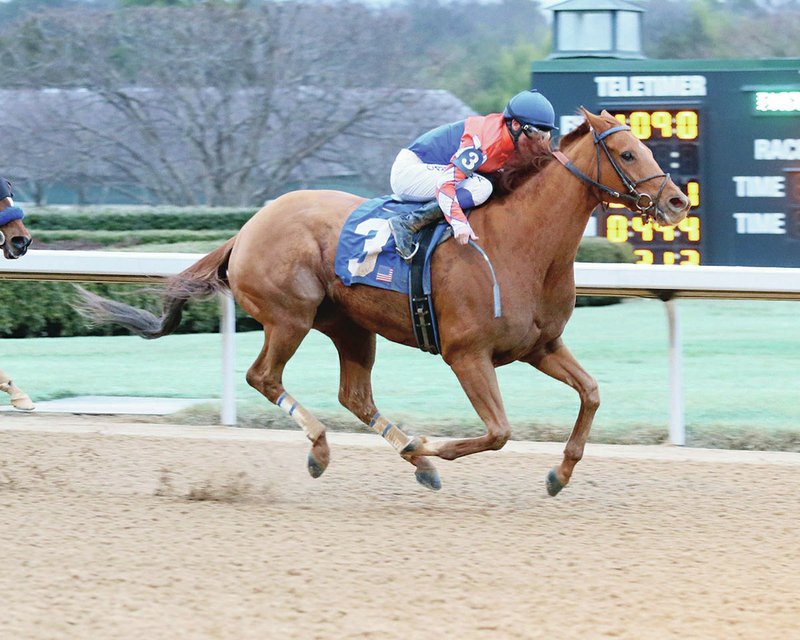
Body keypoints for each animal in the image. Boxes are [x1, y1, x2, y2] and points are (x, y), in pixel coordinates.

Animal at [75, 111, 692, 496]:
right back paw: (329, 450)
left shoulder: (540, 345)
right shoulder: (467, 354)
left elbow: (591, 393)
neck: (522, 244)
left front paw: (559, 474)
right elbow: (498, 431)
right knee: (263, 377)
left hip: (350, 326)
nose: (677, 202)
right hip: (290, 315)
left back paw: (412, 461)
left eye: (648, 146)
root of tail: (247, 228)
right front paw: (433, 445)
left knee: (353, 395)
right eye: (627, 152)